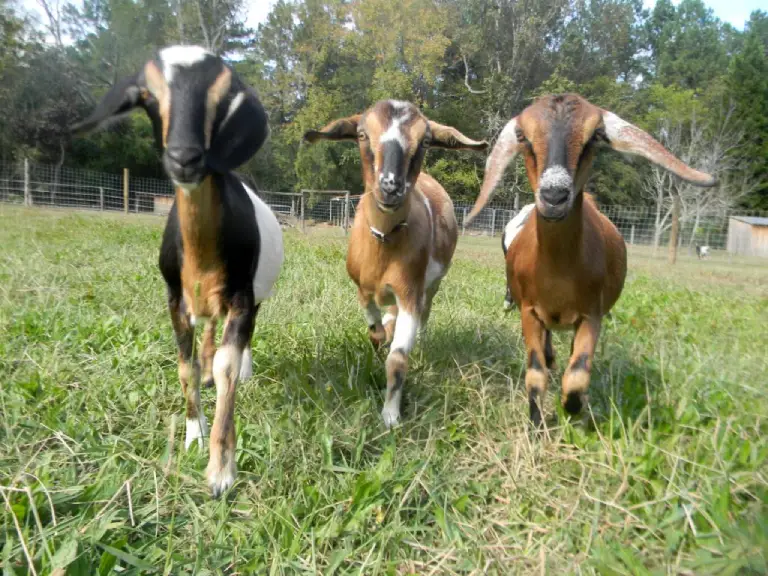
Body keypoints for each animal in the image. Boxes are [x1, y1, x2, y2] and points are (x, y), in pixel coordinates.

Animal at [71, 45, 284, 497]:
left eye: (223, 97)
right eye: (147, 96)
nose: (184, 158)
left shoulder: (242, 296)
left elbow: (225, 366)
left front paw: (220, 470)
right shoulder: (173, 296)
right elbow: (187, 366)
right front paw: (193, 435)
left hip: (254, 297)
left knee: (238, 341)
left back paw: (244, 368)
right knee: (207, 334)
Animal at [303, 100, 487, 427]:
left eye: (425, 141)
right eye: (362, 134)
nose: (390, 187)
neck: (384, 242)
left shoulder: (410, 290)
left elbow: (399, 358)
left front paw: (390, 416)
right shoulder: (361, 288)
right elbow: (375, 331)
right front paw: (380, 343)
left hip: (432, 285)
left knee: (424, 313)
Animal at [465, 93, 715, 426]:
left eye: (594, 136)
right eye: (522, 136)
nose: (554, 196)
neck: (557, 273)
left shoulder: (592, 314)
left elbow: (577, 377)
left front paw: (571, 409)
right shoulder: (529, 312)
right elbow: (535, 373)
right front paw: (537, 422)